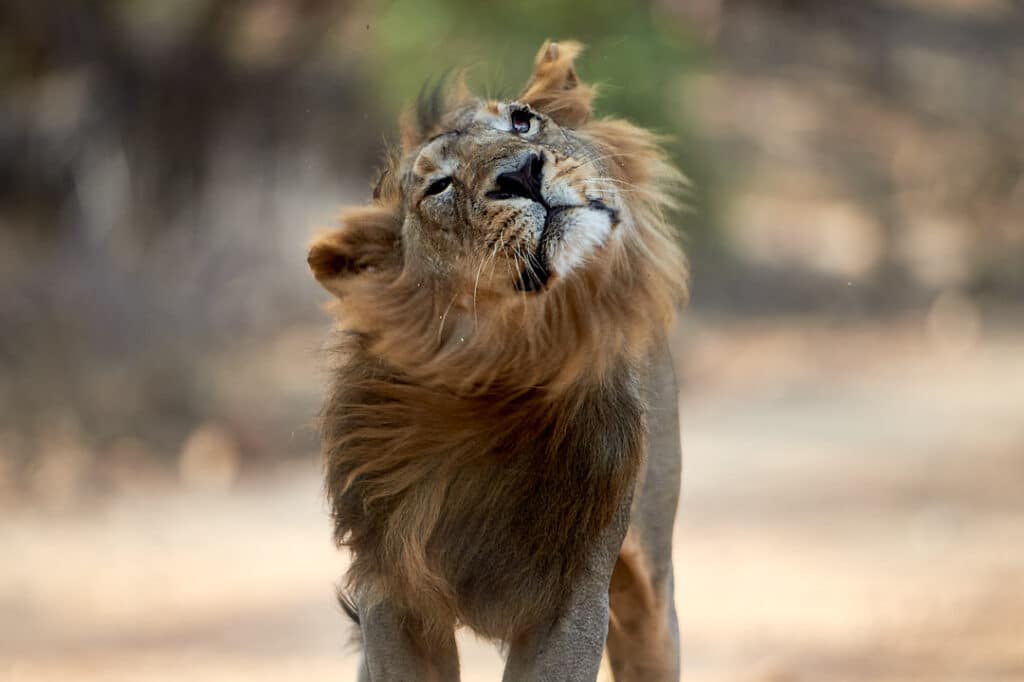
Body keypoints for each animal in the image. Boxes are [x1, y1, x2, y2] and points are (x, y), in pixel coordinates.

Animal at [307, 41, 688, 681]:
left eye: (521, 121)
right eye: (438, 186)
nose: (521, 173)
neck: (501, 377)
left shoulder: (573, 595)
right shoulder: (392, 596)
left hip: (649, 587)